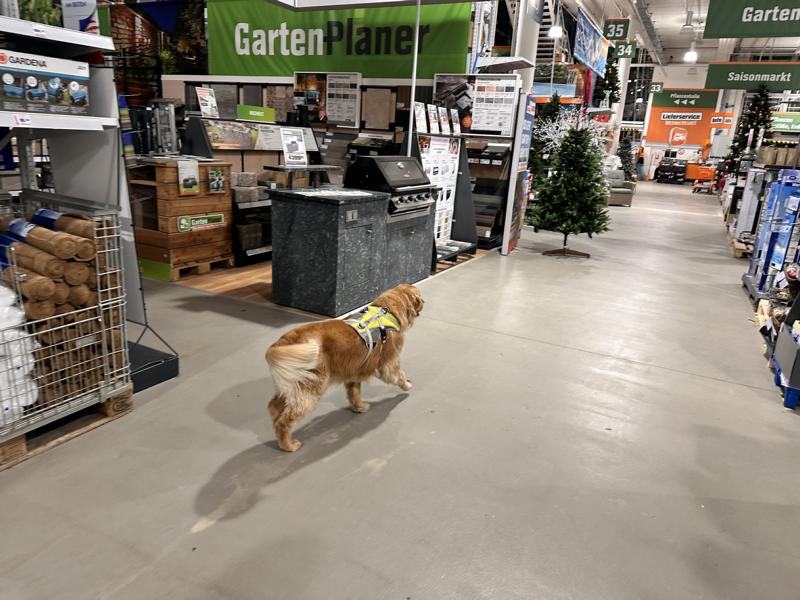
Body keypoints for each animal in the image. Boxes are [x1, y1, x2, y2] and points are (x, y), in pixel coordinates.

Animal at [265, 284, 424, 452]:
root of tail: (287, 340)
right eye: (420, 298)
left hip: (292, 384)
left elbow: (355, 394)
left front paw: (359, 407)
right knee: (285, 420)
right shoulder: (388, 363)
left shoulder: (354, 372)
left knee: (274, 407)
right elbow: (399, 375)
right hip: (310, 388)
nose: (424, 302)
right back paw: (288, 444)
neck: (387, 311)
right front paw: (407, 384)